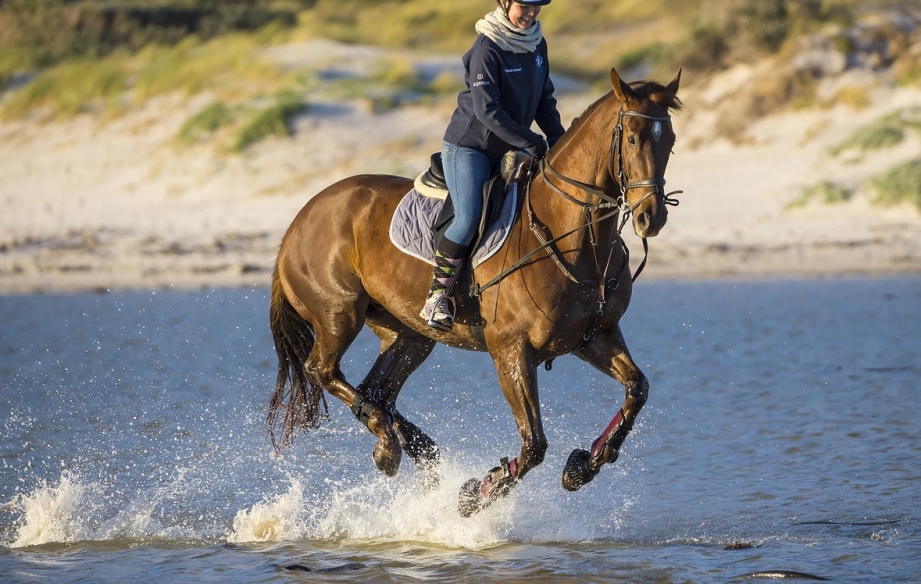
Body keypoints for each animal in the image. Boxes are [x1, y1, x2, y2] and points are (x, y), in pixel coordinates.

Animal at [268, 67, 684, 516]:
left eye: (670, 140)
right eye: (632, 139)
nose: (651, 217)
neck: (573, 238)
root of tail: (299, 219)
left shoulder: (594, 337)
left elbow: (637, 390)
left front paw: (582, 466)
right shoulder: (512, 352)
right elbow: (534, 445)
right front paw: (477, 493)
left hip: (409, 333)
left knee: (376, 390)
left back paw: (410, 449)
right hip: (338, 315)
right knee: (323, 370)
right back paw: (390, 447)